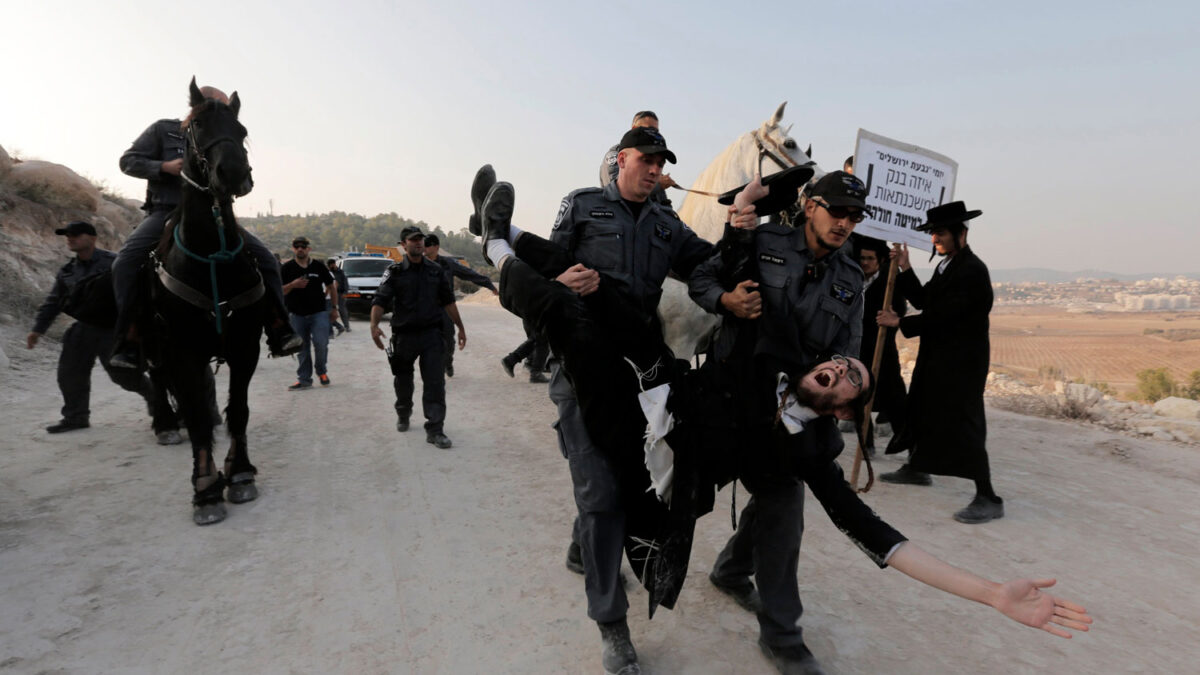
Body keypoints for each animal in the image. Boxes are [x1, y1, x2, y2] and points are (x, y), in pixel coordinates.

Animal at [146, 77, 266, 521]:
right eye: (195, 126)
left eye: (242, 131)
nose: (233, 174)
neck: (211, 255)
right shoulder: (182, 350)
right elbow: (196, 414)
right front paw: (205, 487)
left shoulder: (245, 344)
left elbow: (239, 409)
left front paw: (240, 471)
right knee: (167, 386)